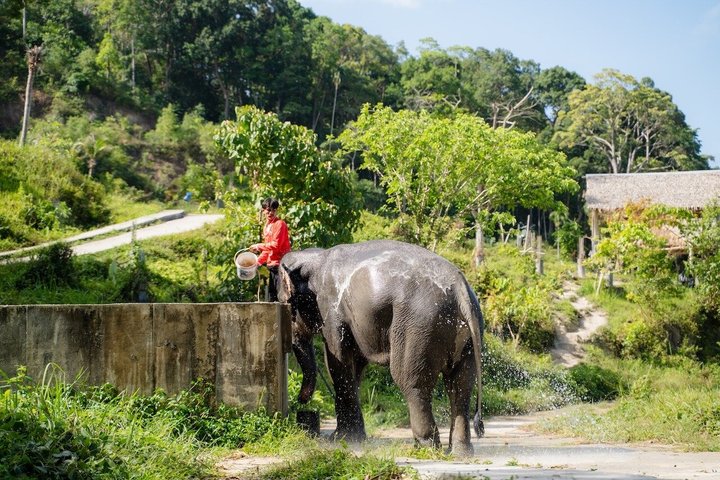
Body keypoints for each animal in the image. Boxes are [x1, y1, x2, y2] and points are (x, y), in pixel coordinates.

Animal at [278, 239, 484, 455]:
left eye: (286, 304)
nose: (302, 401)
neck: (315, 257)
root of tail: (460, 289)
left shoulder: (330, 308)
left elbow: (337, 362)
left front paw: (340, 439)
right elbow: (355, 366)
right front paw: (351, 438)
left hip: (419, 328)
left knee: (412, 382)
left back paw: (424, 447)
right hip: (467, 336)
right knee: (461, 385)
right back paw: (460, 452)